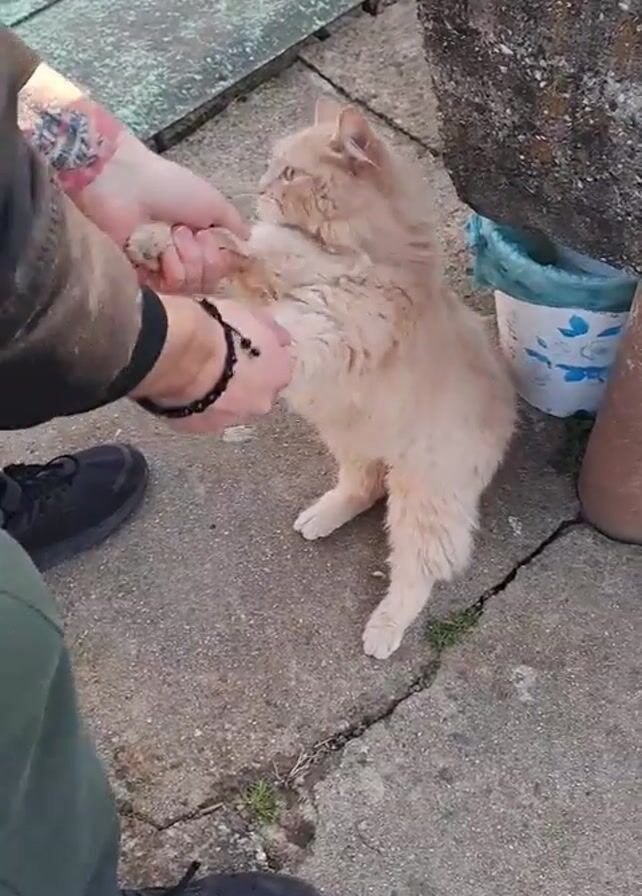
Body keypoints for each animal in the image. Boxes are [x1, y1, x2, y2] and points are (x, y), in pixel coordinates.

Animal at [127, 98, 516, 659]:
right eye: (272, 165)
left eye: (290, 173)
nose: (261, 186)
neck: (345, 249)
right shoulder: (265, 276)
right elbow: (232, 248)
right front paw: (156, 240)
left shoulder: (326, 323)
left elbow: (267, 312)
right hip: (351, 442)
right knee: (363, 487)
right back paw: (322, 516)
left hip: (423, 497)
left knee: (416, 571)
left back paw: (384, 629)